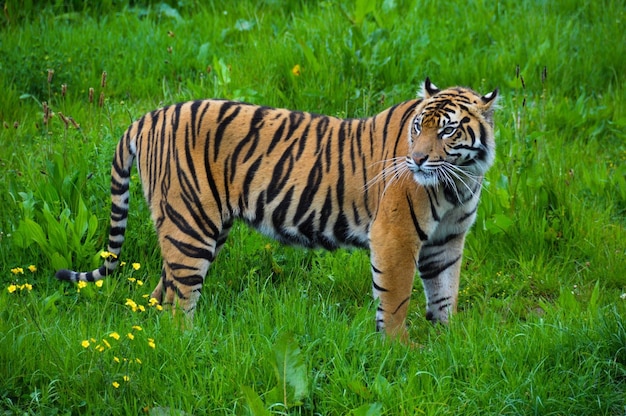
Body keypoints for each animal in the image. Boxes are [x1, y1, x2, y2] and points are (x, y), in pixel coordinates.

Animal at [58, 78, 498, 342]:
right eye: (418, 127)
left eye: (448, 130)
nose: (417, 160)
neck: (461, 178)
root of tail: (149, 116)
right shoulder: (396, 235)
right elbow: (396, 297)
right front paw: (399, 350)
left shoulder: (447, 240)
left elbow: (444, 290)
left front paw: (448, 342)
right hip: (190, 227)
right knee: (177, 302)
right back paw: (189, 346)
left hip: (198, 229)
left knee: (161, 293)